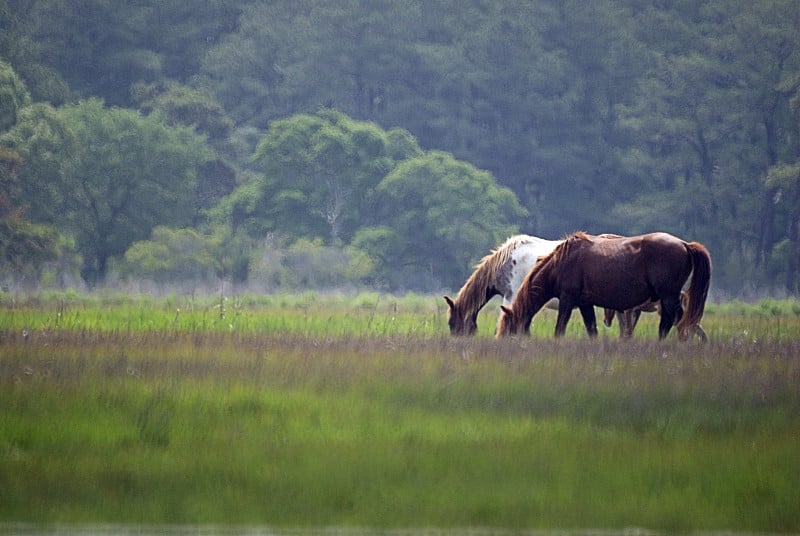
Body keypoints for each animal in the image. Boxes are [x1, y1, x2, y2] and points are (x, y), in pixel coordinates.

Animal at [494, 230, 712, 340]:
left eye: (509, 332)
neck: (562, 262)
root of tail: (685, 244)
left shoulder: (567, 299)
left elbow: (559, 329)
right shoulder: (584, 303)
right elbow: (592, 330)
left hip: (669, 297)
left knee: (679, 322)